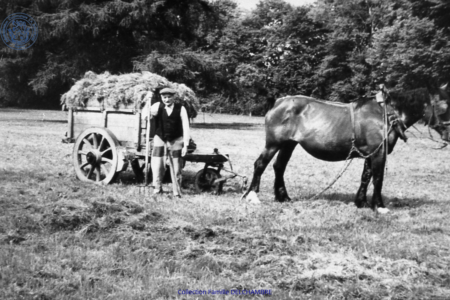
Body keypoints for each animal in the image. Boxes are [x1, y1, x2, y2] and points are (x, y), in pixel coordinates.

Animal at [243, 84, 450, 213]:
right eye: (444, 108)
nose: (448, 136)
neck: (386, 114)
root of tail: (278, 102)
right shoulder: (379, 153)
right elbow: (378, 178)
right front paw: (379, 206)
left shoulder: (371, 152)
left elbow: (366, 176)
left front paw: (361, 202)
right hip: (274, 143)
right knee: (260, 164)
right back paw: (252, 196)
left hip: (288, 144)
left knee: (279, 167)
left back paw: (283, 197)